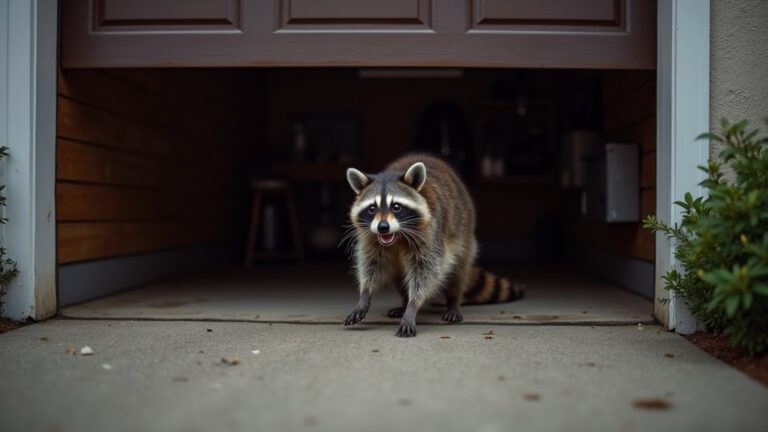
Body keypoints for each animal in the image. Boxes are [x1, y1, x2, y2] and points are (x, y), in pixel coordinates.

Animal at [343, 154, 524, 337]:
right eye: (372, 208)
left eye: (396, 207)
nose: (383, 227)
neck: (397, 238)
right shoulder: (370, 238)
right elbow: (371, 266)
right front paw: (365, 294)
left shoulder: (431, 233)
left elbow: (426, 272)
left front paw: (412, 306)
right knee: (399, 279)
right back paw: (403, 302)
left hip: (465, 240)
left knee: (456, 274)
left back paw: (453, 302)